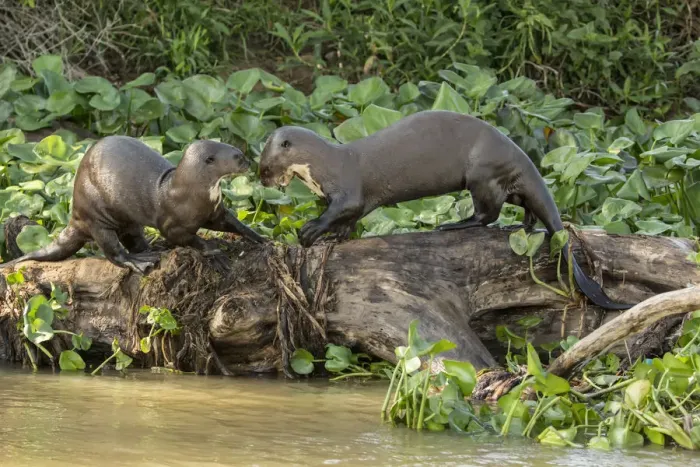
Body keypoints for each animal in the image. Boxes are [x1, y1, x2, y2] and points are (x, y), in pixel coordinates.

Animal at [1, 136, 265, 274]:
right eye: (238, 157)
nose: (250, 163)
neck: (191, 193)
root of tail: (74, 214)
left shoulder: (214, 211)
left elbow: (231, 223)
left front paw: (259, 237)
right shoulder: (172, 223)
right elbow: (186, 237)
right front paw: (215, 252)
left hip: (127, 220)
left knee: (134, 238)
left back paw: (153, 250)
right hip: (96, 216)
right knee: (113, 250)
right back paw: (138, 261)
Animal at [258, 110, 631, 311]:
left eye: (266, 167)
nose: (262, 180)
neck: (324, 166)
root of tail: (523, 156)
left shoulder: (347, 191)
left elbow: (342, 210)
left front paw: (310, 230)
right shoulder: (349, 203)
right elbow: (348, 223)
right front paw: (334, 237)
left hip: (481, 174)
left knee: (487, 215)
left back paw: (453, 225)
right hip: (501, 182)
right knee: (521, 205)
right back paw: (522, 227)